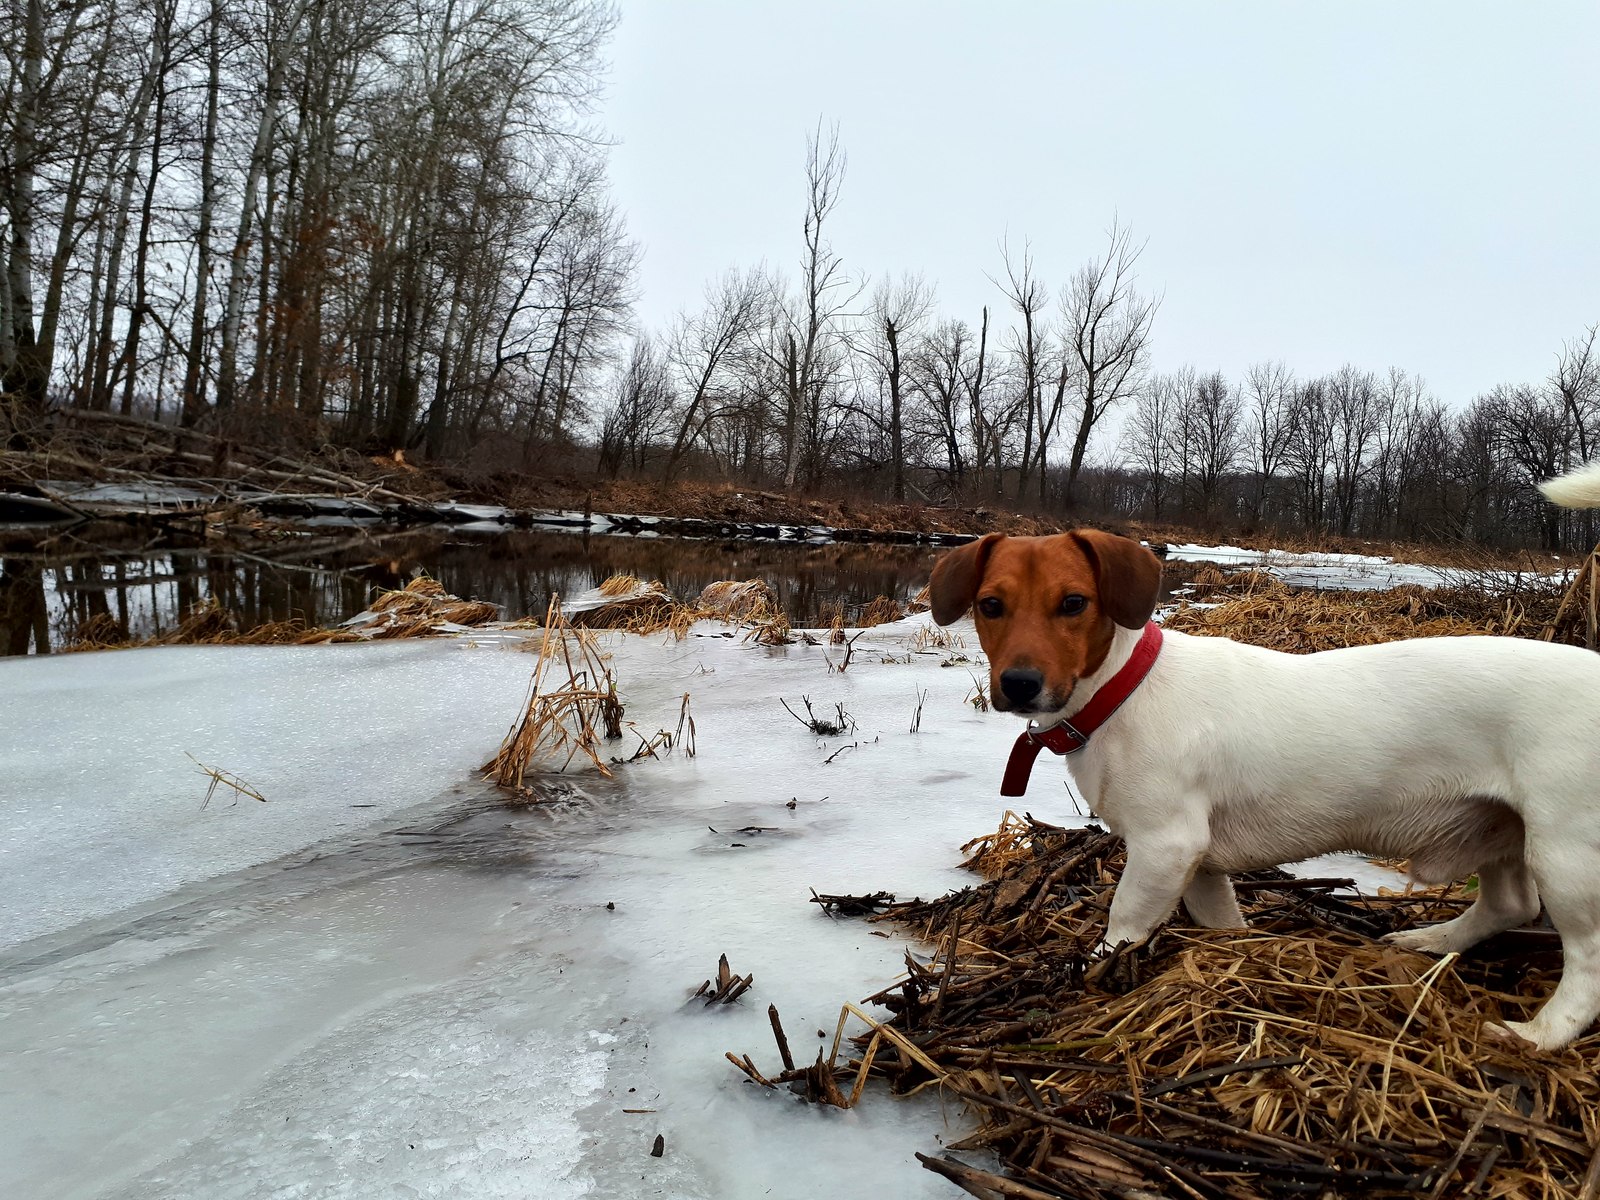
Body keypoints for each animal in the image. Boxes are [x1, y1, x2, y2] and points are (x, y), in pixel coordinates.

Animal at [934, 470, 1600, 1049]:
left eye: (1074, 603)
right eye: (990, 606)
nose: (1019, 684)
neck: (1125, 689)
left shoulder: (1165, 845)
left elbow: (1123, 921)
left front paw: (1095, 967)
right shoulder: (1201, 866)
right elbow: (1222, 921)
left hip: (1566, 853)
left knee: (1586, 960)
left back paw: (1539, 1034)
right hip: (1501, 830)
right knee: (1510, 904)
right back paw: (1430, 940)